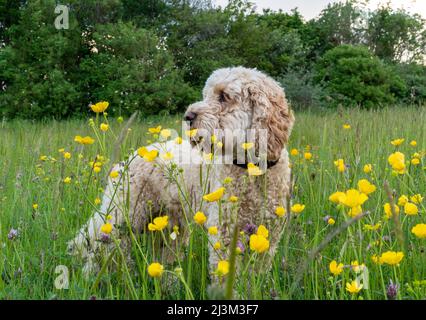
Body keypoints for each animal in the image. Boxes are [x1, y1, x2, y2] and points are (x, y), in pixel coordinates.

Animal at [70, 67, 294, 278]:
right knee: (100, 248)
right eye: (206, 95)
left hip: (166, 225)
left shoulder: (267, 238)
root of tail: (131, 156)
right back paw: (90, 278)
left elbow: (255, 277)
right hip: (123, 215)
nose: (188, 116)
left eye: (223, 96)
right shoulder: (225, 235)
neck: (252, 171)